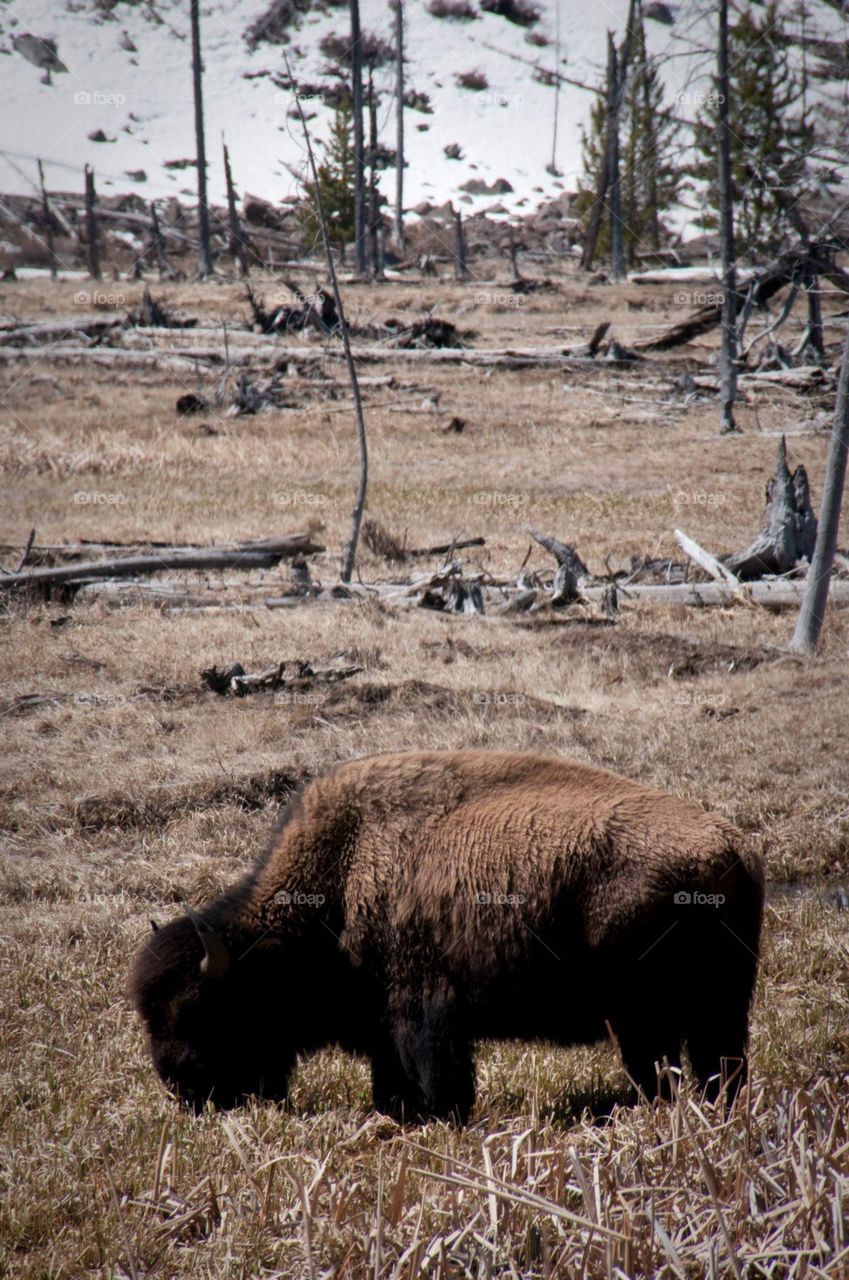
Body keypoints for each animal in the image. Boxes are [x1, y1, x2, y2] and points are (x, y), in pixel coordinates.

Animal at [131, 750, 764, 1121]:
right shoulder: (385, 1024)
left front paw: (440, 1119)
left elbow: (438, 1074)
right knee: (718, 1066)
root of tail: (729, 846)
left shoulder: (425, 1011)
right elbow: (392, 1075)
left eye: (205, 1009)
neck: (341, 873)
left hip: (643, 1017)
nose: (181, 1089)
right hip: (720, 1007)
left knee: (661, 1070)